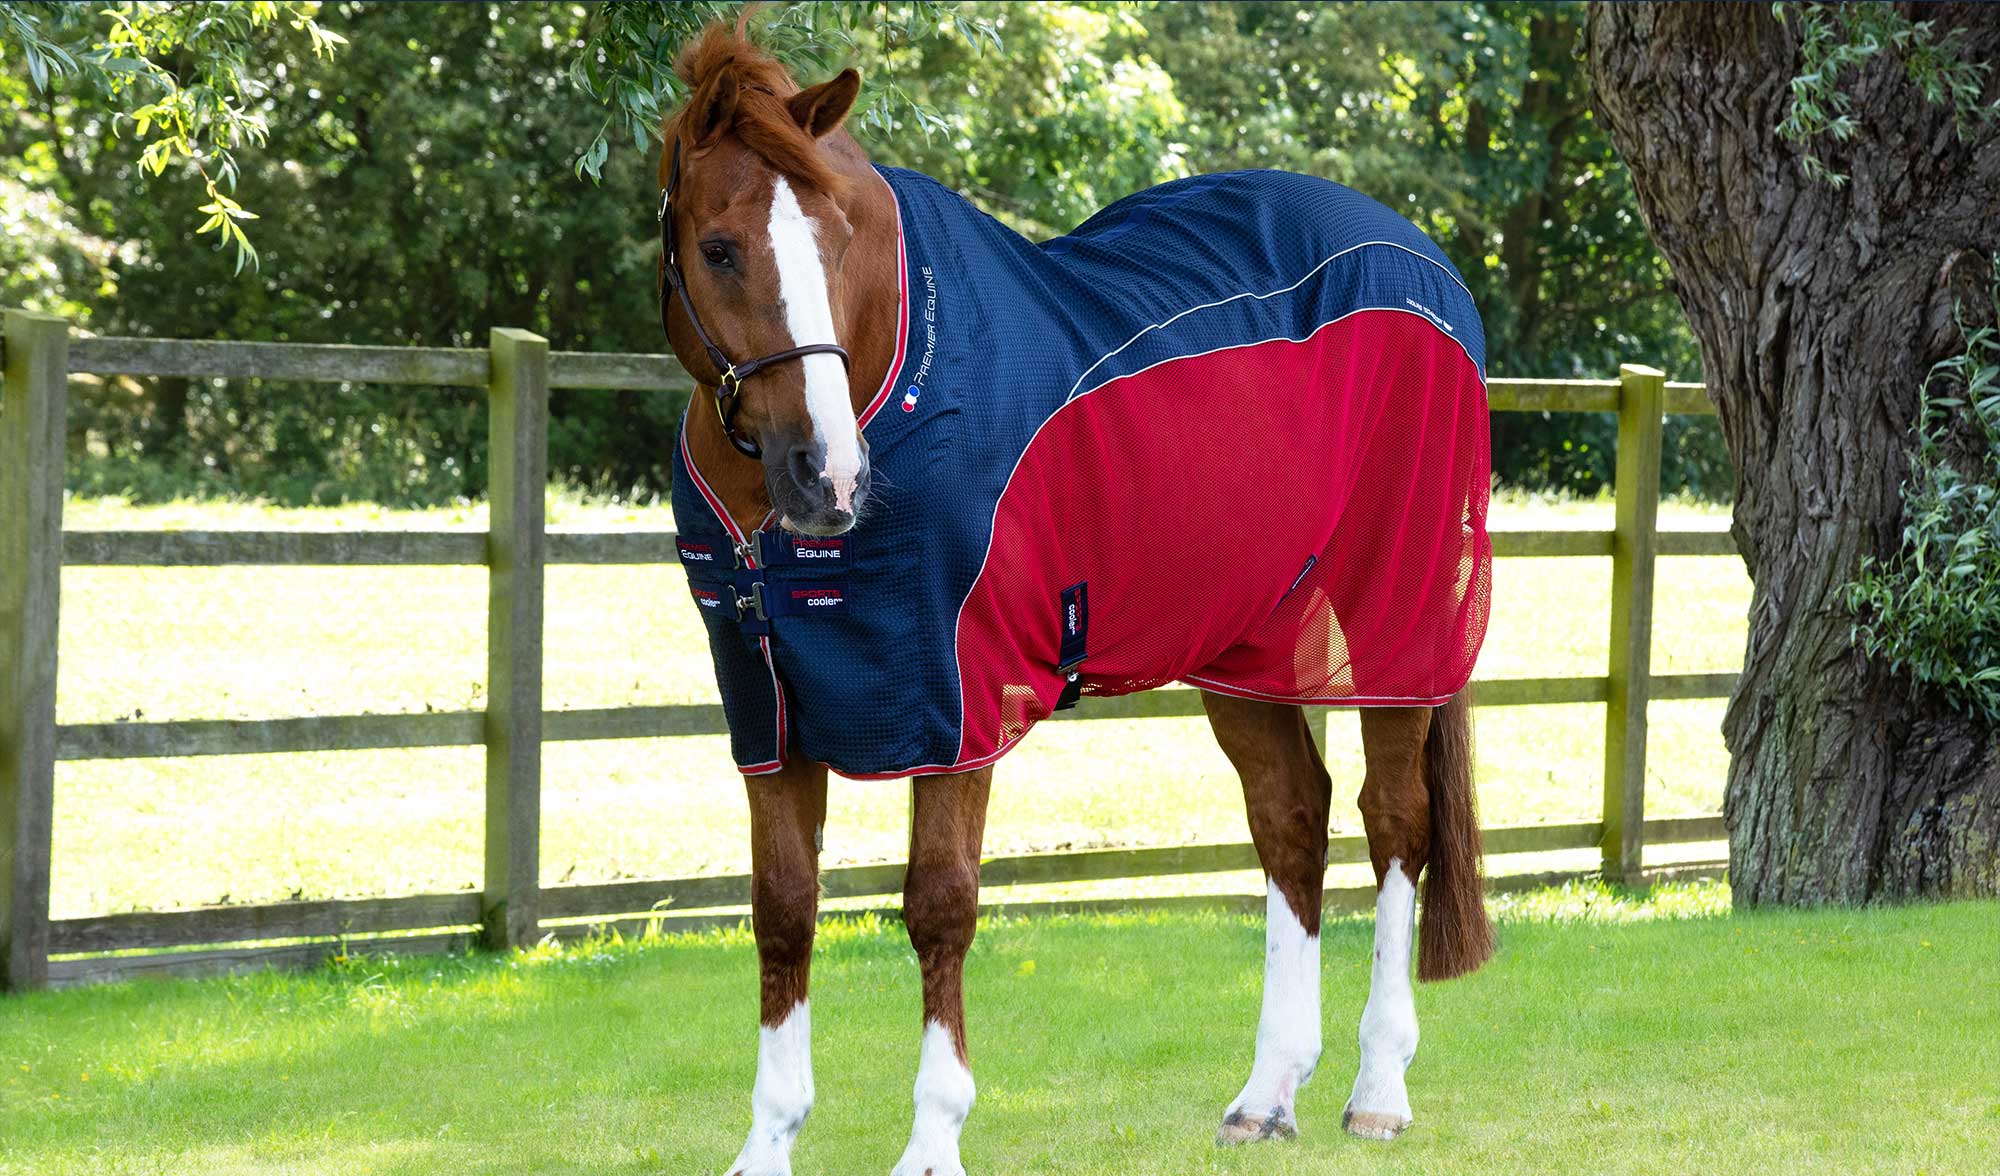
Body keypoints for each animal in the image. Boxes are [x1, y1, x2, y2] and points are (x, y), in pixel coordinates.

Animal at [655, 21, 1494, 1176]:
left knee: (1393, 821)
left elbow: (939, 905)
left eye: (837, 240)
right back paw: (1265, 1094)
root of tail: (1423, 259)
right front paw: (767, 1145)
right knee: (1291, 817)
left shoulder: (954, 701)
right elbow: (783, 910)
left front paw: (933, 1141)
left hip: (1393, 621)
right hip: (1246, 641)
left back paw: (1377, 1090)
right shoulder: (768, 713)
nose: (826, 475)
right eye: (720, 248)